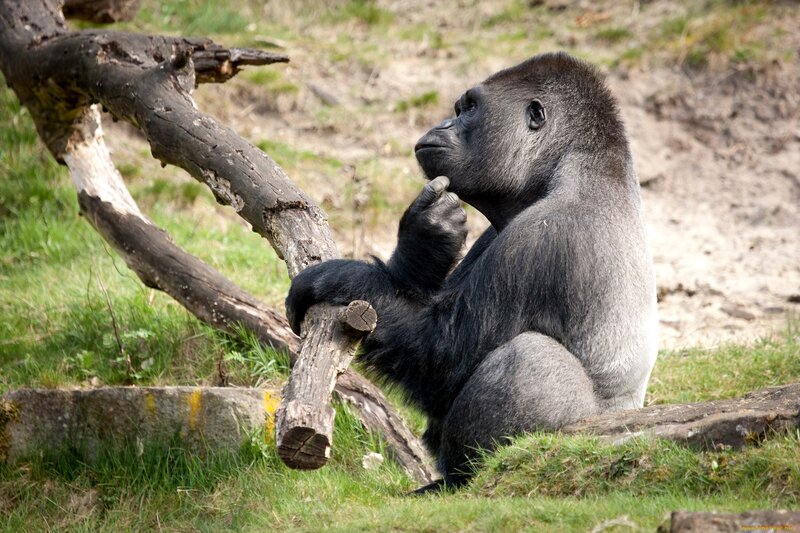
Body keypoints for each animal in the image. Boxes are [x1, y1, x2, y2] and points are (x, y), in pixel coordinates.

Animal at [286, 52, 658, 491]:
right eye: (457, 109)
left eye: (471, 109)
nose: (443, 125)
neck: (575, 166)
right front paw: (425, 245)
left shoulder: (544, 235)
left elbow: (440, 354)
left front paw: (340, 278)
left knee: (531, 360)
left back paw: (463, 478)